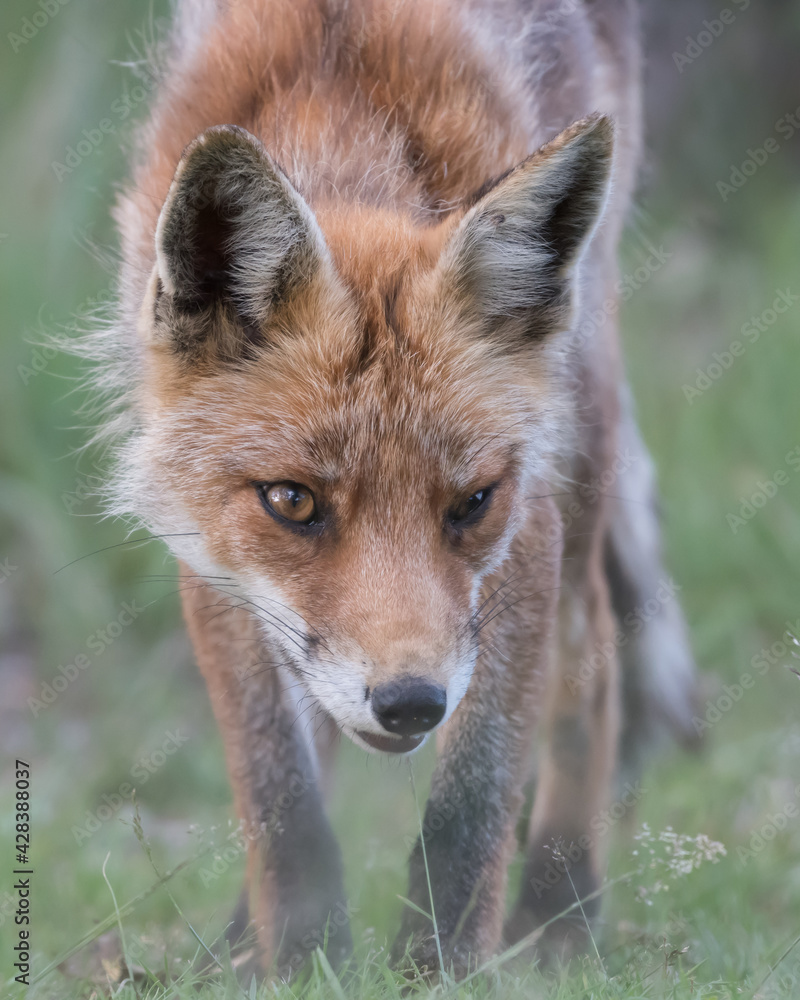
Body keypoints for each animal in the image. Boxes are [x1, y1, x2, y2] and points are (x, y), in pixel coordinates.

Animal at [89, 0, 700, 981]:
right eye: (291, 501)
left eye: (472, 502)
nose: (411, 701)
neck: (342, 116)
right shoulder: (209, 549)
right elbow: (280, 795)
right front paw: (300, 962)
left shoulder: (526, 528)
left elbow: (471, 802)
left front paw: (440, 971)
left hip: (583, 418)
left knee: (596, 652)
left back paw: (560, 910)